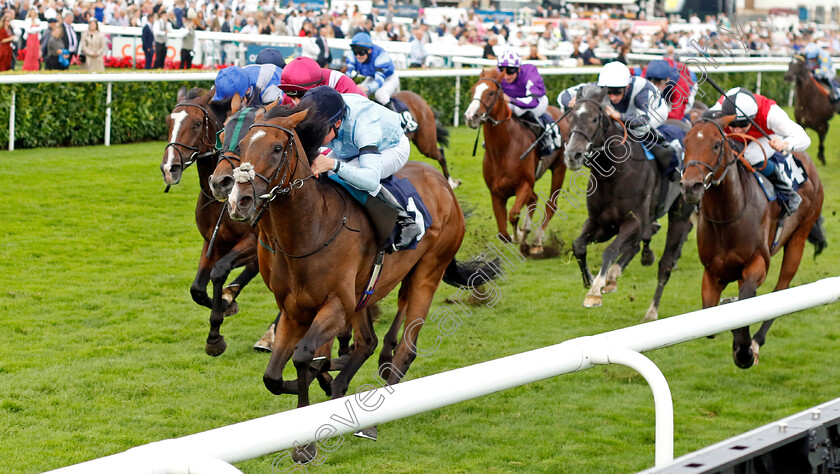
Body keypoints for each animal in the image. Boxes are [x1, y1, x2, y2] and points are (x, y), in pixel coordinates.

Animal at [160, 88, 260, 356]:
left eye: (196, 123)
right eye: (169, 122)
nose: (169, 169)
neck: (220, 201)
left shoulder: (253, 242)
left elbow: (220, 270)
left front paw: (216, 333)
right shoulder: (212, 241)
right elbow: (197, 288)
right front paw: (225, 305)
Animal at [210, 104, 498, 460]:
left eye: (277, 148)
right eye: (241, 145)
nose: (239, 200)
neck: (310, 228)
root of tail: (445, 187)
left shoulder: (335, 305)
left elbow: (304, 356)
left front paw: (306, 443)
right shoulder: (294, 310)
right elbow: (273, 376)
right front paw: (320, 386)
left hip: (426, 274)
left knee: (406, 349)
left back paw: (372, 416)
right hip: (367, 291)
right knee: (368, 342)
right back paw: (342, 384)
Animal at [462, 68, 568, 254]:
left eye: (491, 92)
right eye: (473, 90)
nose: (470, 116)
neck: (503, 150)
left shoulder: (524, 184)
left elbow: (513, 214)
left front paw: (519, 235)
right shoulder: (496, 192)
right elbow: (503, 233)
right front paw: (519, 235)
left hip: (559, 168)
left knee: (551, 205)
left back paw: (537, 242)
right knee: (534, 199)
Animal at [560, 85, 692, 322]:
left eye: (594, 119)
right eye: (571, 117)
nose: (572, 155)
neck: (614, 174)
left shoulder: (633, 221)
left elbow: (611, 250)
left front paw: (595, 292)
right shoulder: (601, 223)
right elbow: (578, 246)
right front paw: (591, 279)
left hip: (681, 212)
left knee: (665, 263)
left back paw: (651, 310)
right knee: (638, 244)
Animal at [680, 114, 824, 366]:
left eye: (716, 144)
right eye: (686, 143)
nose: (690, 186)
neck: (727, 217)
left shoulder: (758, 263)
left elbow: (747, 299)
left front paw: (745, 349)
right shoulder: (711, 273)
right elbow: (711, 318)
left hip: (799, 237)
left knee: (781, 289)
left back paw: (756, 341)